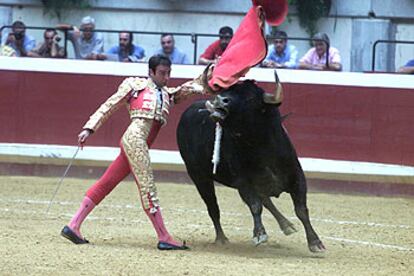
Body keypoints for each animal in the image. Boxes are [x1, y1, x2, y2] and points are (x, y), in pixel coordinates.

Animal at [176, 80, 326, 252]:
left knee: (267, 201)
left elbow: (301, 210)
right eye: (228, 91)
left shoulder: (298, 179)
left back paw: (287, 225)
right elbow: (255, 205)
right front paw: (259, 234)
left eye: (251, 99)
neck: (262, 147)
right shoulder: (244, 183)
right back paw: (221, 239)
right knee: (213, 207)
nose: (220, 100)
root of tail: (188, 111)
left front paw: (315, 242)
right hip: (199, 177)